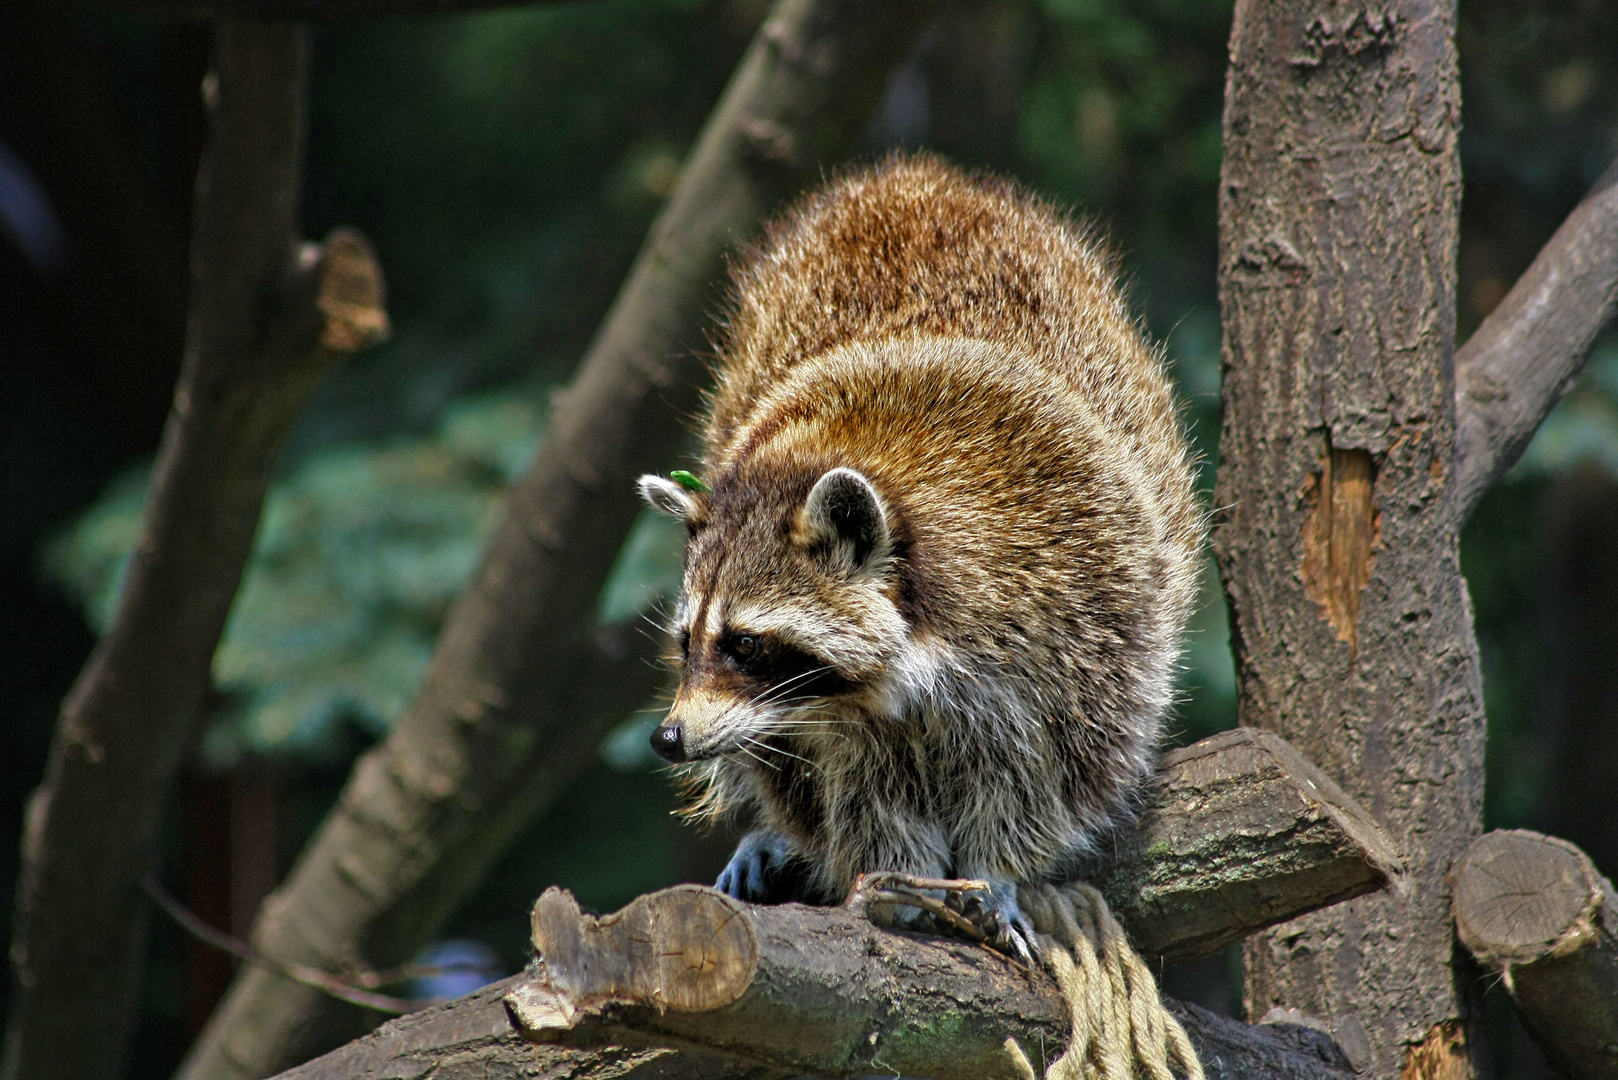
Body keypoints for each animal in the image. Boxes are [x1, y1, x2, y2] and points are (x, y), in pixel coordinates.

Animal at [631, 153, 1203, 952]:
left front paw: (996, 871)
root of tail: (905, 177)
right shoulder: (825, 726)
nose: (669, 738)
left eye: (745, 644)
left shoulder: (1081, 612)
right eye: (687, 642)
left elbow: (1051, 773)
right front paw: (896, 878)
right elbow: (856, 794)